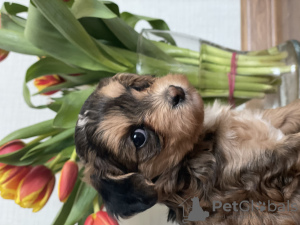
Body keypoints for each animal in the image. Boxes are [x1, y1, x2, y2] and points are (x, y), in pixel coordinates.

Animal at [74, 73, 300, 224]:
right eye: (138, 138)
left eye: (136, 87)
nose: (177, 92)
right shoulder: (254, 165)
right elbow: (291, 147)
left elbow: (284, 113)